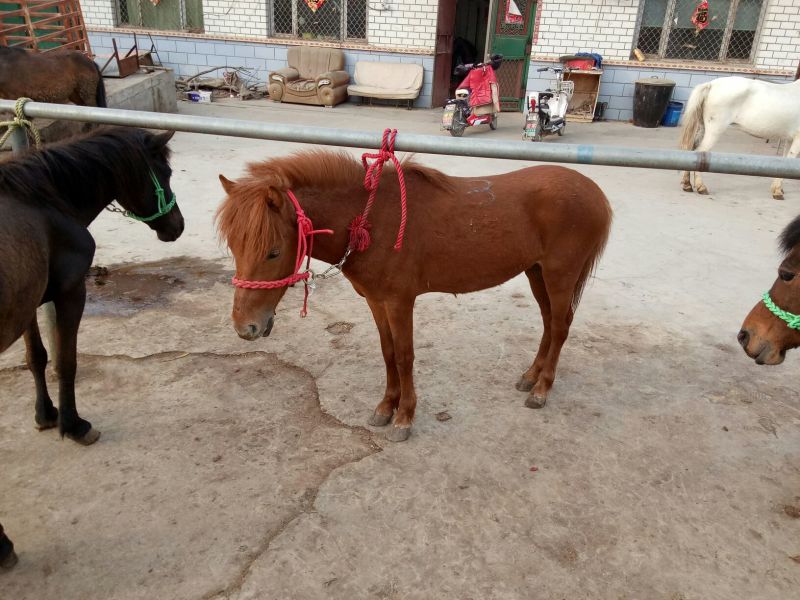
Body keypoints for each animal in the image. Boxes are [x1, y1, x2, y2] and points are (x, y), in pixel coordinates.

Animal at [0, 126, 184, 569]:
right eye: (165, 172)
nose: (178, 226)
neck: (47, 199)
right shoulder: (70, 291)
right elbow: (64, 361)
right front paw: (74, 425)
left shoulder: (29, 298)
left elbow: (36, 358)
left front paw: (45, 415)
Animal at [216, 149, 612, 443]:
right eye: (234, 246)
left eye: (273, 252)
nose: (245, 328)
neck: (372, 220)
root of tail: (594, 192)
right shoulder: (376, 301)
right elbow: (388, 353)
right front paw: (385, 408)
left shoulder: (400, 302)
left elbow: (405, 357)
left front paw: (404, 418)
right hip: (537, 272)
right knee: (549, 323)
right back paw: (531, 376)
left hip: (559, 275)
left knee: (559, 327)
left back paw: (541, 390)